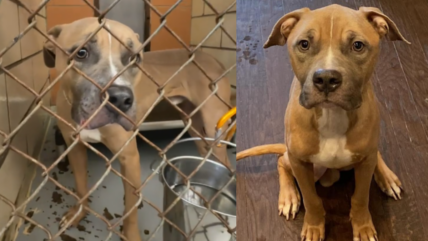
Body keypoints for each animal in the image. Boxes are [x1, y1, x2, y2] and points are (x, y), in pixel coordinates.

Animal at [43, 17, 231, 240]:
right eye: (81, 52)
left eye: (134, 58)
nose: (120, 99)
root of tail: (212, 58)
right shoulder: (75, 148)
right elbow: (81, 188)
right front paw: (78, 214)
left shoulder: (129, 157)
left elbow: (130, 209)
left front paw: (131, 233)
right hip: (195, 126)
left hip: (213, 128)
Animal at [239, 4, 410, 241]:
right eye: (304, 44)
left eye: (358, 45)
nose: (327, 79)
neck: (332, 115)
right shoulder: (301, 164)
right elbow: (312, 200)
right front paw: (313, 227)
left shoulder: (365, 162)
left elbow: (360, 198)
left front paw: (363, 227)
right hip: (302, 162)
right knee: (281, 161)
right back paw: (289, 196)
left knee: (375, 153)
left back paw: (387, 177)